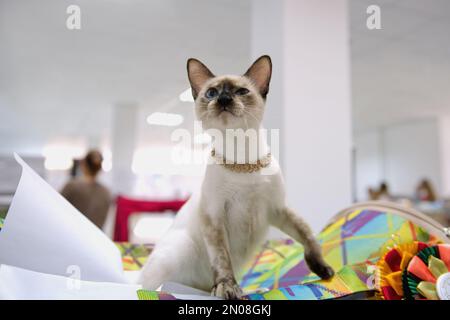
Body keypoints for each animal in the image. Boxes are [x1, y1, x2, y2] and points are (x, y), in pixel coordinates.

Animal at [139, 55, 336, 300]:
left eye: (241, 91)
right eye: (211, 93)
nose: (223, 99)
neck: (242, 162)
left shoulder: (278, 209)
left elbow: (308, 235)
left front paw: (323, 270)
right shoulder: (214, 218)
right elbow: (222, 260)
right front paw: (227, 287)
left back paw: (252, 289)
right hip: (178, 252)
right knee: (145, 286)